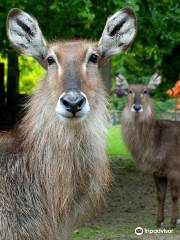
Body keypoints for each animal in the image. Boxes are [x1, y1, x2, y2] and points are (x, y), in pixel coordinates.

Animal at [115, 74, 180, 228]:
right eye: (130, 91)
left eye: (145, 91)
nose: (137, 107)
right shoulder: (158, 173)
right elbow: (160, 196)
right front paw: (159, 222)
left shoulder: (175, 169)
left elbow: (174, 196)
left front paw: (173, 222)